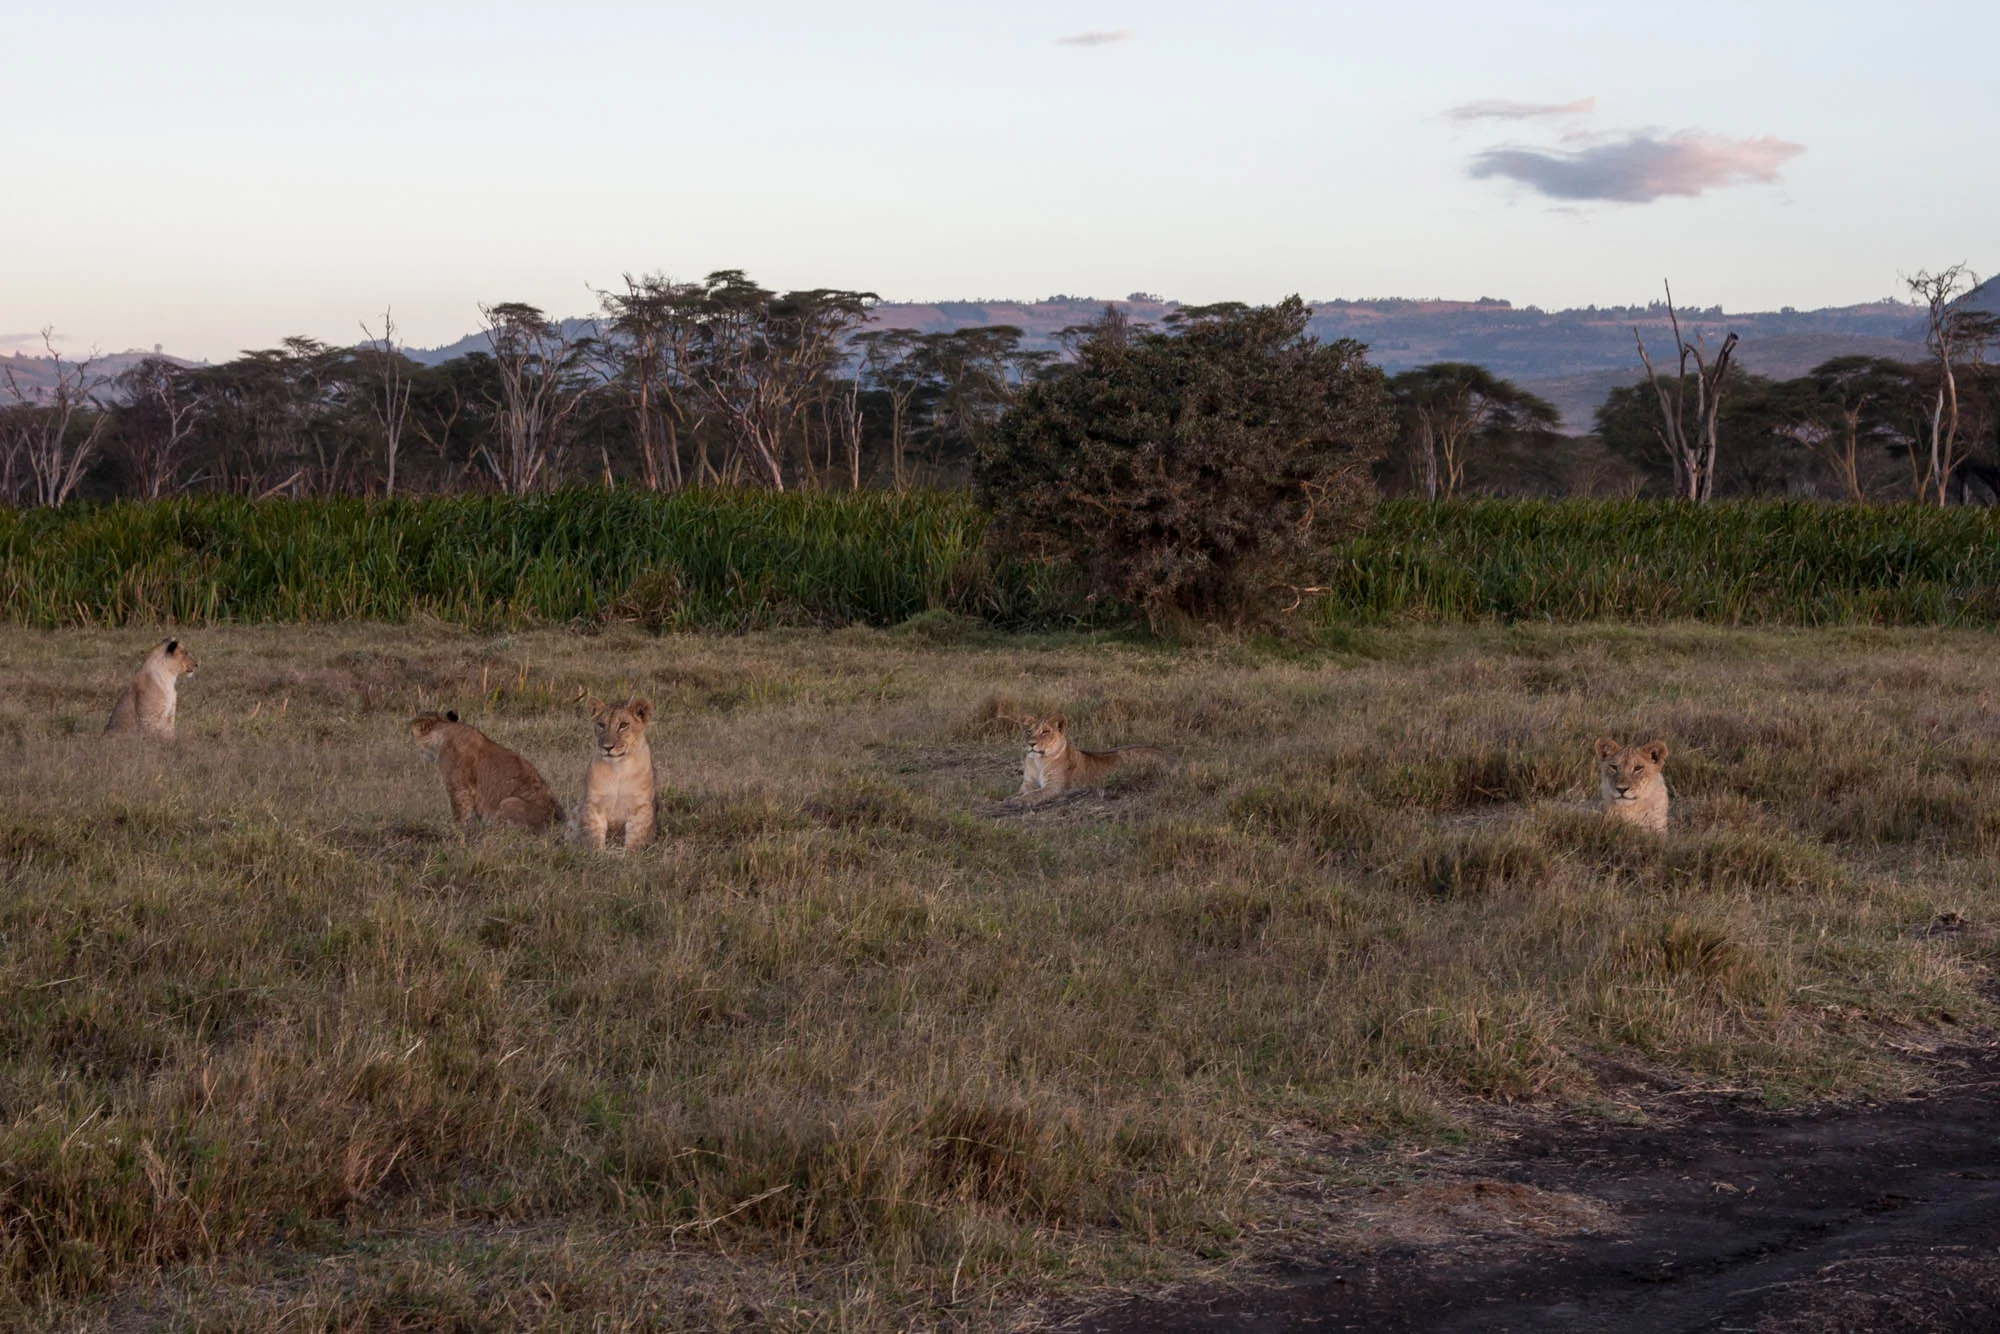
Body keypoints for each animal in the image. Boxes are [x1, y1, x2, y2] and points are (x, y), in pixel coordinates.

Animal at [410, 710, 561, 832]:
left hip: (508, 802)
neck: (446, 729)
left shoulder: (458, 787)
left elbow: (460, 811)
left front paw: (456, 830)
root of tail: (556, 824)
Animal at [575, 698, 657, 849]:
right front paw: (597, 853)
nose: (607, 747)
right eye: (601, 725)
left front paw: (631, 853)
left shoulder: (641, 807)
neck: (619, 768)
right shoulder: (594, 804)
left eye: (623, 725)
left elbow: (636, 837)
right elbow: (594, 836)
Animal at [1015, 713, 1166, 801]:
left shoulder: (1055, 786)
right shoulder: (1028, 783)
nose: (1031, 744)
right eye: (1028, 731)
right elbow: (1021, 792)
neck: (1037, 762)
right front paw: (1012, 798)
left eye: (1045, 732)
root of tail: (1164, 753)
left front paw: (1016, 801)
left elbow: (1033, 795)